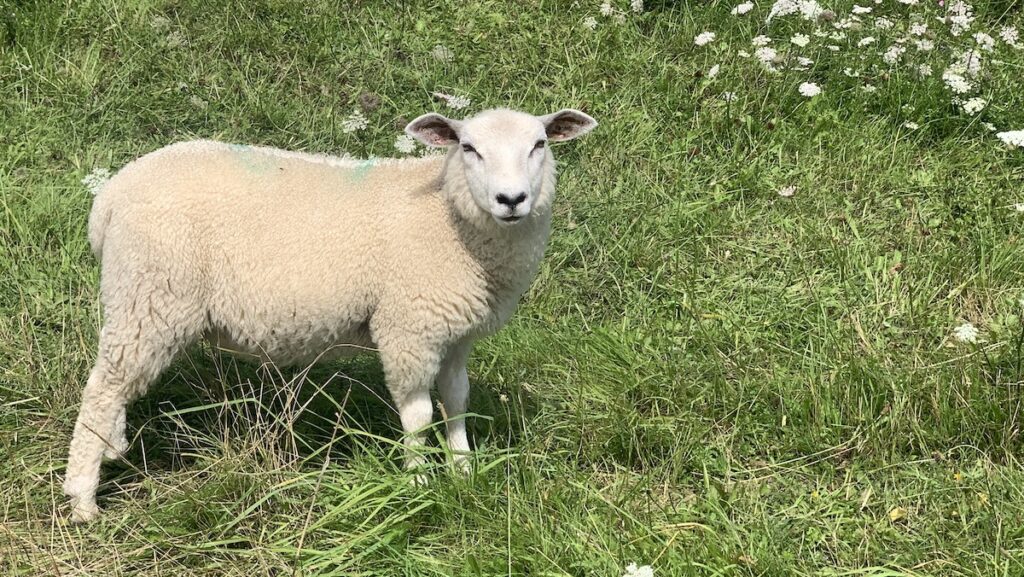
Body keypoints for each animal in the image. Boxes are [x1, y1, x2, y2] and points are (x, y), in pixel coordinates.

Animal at [64, 107, 597, 522]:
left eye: (539, 144)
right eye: (469, 148)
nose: (512, 200)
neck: (450, 220)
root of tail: (109, 198)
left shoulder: (456, 331)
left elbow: (457, 401)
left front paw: (464, 472)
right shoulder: (407, 327)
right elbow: (419, 416)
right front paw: (420, 487)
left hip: (137, 299)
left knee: (114, 384)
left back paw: (113, 447)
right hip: (152, 293)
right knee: (102, 389)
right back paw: (83, 501)